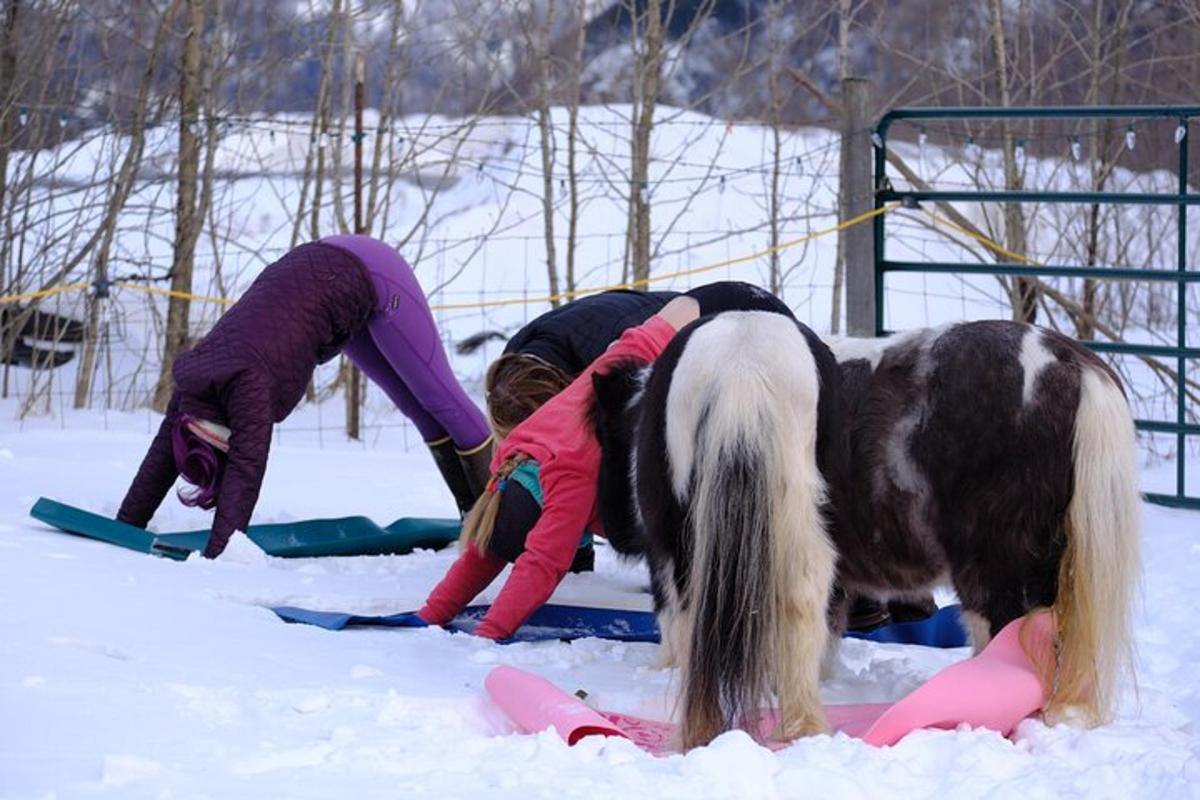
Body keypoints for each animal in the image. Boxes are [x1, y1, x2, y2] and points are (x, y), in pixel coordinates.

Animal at [592, 309, 844, 748]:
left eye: (606, 434)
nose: (615, 527)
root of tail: (743, 364)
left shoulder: (660, 552)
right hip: (804, 519)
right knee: (803, 596)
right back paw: (801, 727)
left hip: (683, 540)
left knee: (692, 610)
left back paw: (699, 730)